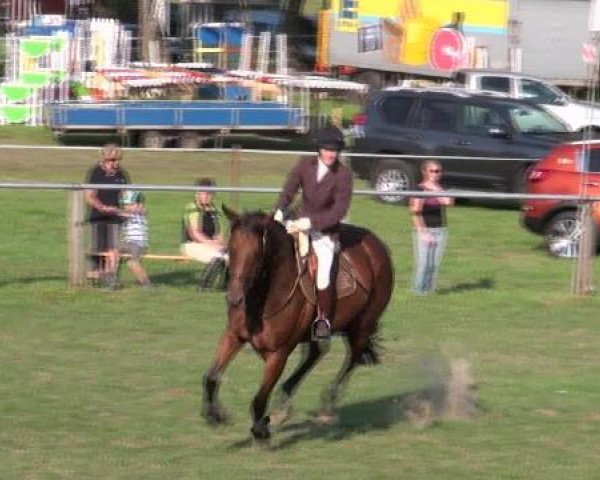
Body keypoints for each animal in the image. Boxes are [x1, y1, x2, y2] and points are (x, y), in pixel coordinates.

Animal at [203, 204, 394, 440]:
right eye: (231, 248)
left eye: (256, 253)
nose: (234, 299)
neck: (266, 295)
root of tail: (376, 245)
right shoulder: (234, 335)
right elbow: (211, 377)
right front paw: (215, 415)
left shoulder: (278, 354)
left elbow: (259, 398)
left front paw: (261, 429)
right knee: (316, 353)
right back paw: (284, 403)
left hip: (362, 325)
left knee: (353, 357)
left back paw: (326, 406)